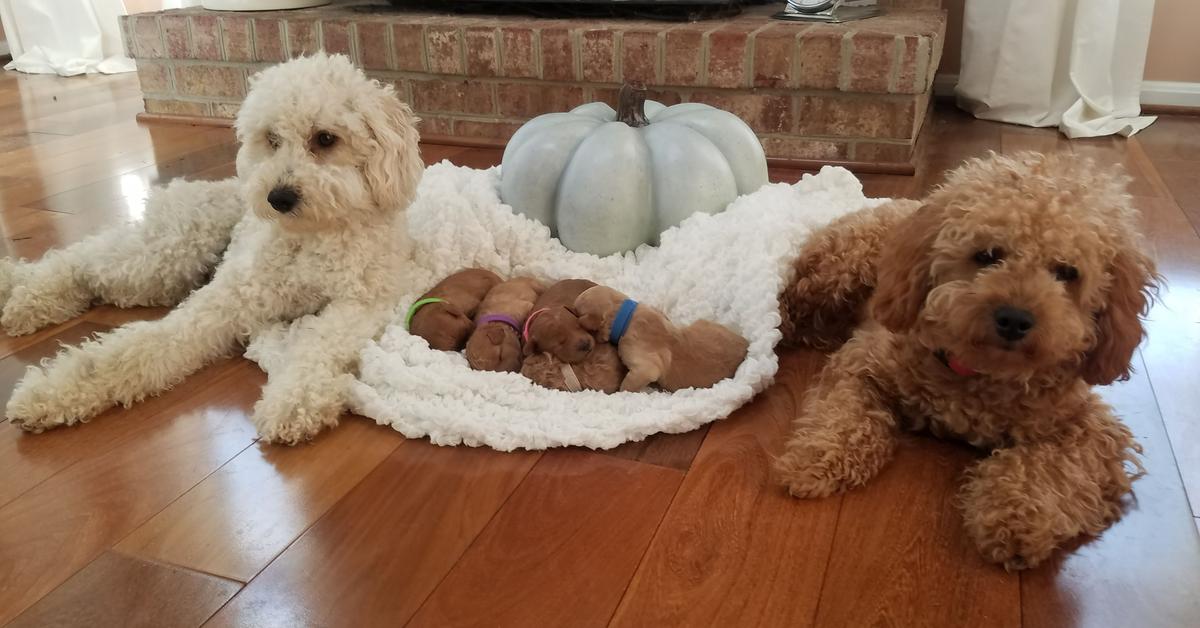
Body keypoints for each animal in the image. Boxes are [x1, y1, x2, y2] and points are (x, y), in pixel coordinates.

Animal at [1, 55, 422, 446]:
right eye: (271, 139)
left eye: (325, 138)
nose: (278, 198)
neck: (311, 236)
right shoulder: (228, 300)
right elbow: (141, 346)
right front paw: (50, 392)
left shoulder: (361, 303)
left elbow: (319, 345)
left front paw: (293, 401)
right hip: (166, 256)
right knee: (81, 259)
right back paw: (24, 298)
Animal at [772, 152, 1156, 569]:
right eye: (987, 255)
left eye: (1067, 272)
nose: (1015, 318)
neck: (979, 375)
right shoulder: (862, 363)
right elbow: (843, 416)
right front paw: (815, 460)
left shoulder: (1092, 430)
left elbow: (1053, 468)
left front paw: (1016, 518)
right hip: (838, 268)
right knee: (792, 303)